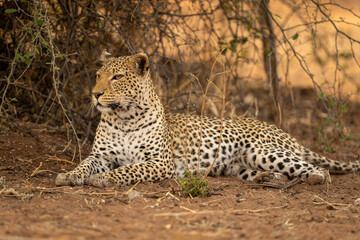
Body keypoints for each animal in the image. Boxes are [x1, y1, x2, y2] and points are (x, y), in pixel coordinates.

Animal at [54, 51, 358, 188]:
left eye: (116, 77)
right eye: (98, 75)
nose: (95, 94)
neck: (124, 118)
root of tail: (279, 129)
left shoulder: (159, 162)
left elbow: (128, 170)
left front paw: (103, 180)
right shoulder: (101, 156)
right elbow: (84, 164)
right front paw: (69, 175)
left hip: (264, 151)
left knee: (317, 169)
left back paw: (314, 178)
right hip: (240, 166)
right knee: (274, 172)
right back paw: (267, 178)